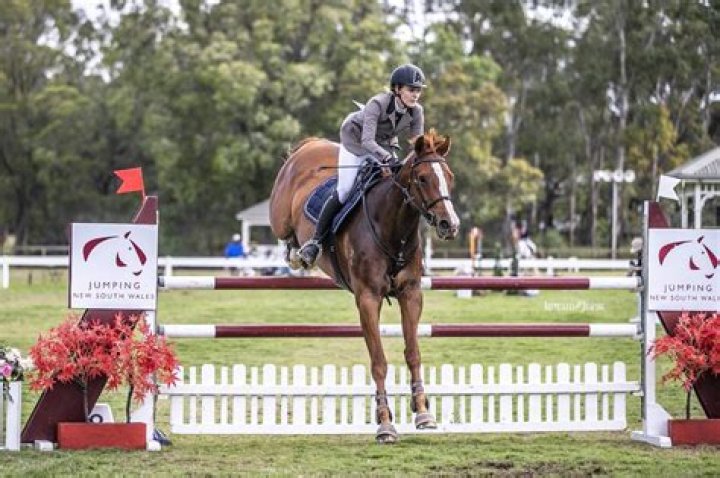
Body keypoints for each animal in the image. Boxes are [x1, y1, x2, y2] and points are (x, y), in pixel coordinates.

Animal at [269, 130, 460, 443]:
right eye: (422, 178)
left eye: (449, 176)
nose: (449, 224)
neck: (393, 227)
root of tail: (309, 145)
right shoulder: (368, 299)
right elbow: (379, 361)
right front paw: (384, 423)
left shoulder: (411, 295)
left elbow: (413, 353)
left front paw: (423, 412)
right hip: (280, 216)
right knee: (285, 236)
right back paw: (300, 254)